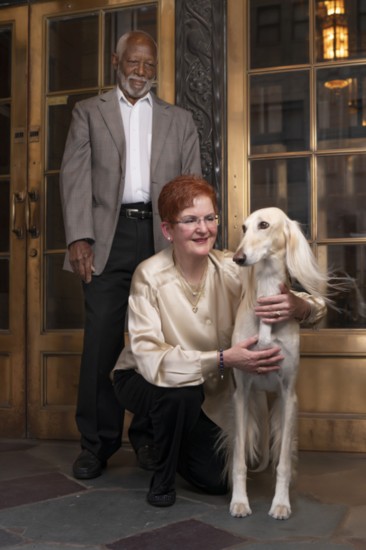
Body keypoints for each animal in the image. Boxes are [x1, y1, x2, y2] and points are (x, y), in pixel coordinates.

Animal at [229, 207, 328, 520]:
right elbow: (239, 458)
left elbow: (282, 460)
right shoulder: (242, 393)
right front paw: (239, 501)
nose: (238, 258)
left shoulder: (287, 394)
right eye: (244, 228)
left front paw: (281, 503)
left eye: (264, 225)